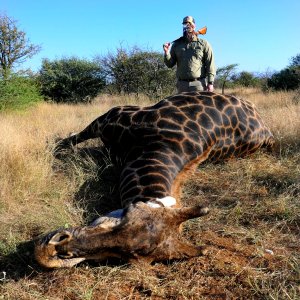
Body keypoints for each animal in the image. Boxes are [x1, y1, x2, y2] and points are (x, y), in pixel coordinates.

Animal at [34, 91, 274, 268]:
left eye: (126, 257)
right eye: (126, 215)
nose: (51, 250)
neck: (152, 146)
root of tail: (266, 129)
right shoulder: (108, 117)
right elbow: (71, 139)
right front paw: (53, 146)